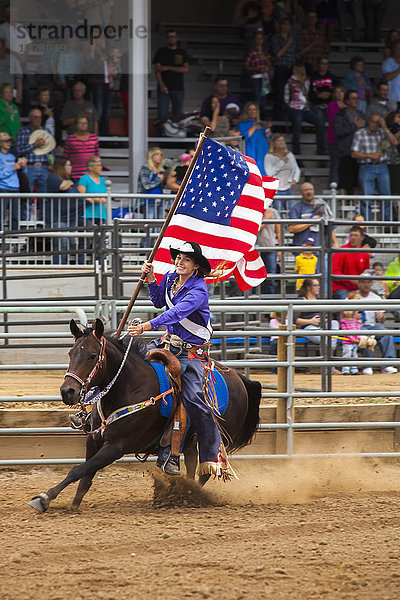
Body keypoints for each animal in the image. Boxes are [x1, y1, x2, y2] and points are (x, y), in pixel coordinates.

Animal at [27, 318, 260, 510]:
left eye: (93, 356)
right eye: (71, 353)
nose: (68, 391)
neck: (129, 387)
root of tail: (239, 379)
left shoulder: (117, 447)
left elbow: (78, 470)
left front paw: (44, 498)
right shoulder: (93, 440)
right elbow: (85, 476)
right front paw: (74, 504)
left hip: (210, 437)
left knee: (206, 470)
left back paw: (188, 495)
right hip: (190, 441)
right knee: (192, 465)